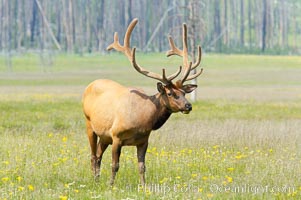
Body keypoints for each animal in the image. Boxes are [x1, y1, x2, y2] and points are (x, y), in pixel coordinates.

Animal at [82, 18, 202, 185]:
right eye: (170, 93)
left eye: (184, 92)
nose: (188, 105)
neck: (143, 119)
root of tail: (90, 85)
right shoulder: (116, 136)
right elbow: (115, 165)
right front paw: (111, 185)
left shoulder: (143, 140)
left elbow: (142, 166)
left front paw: (144, 186)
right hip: (89, 125)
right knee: (93, 155)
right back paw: (95, 181)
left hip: (104, 136)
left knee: (98, 155)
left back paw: (97, 179)